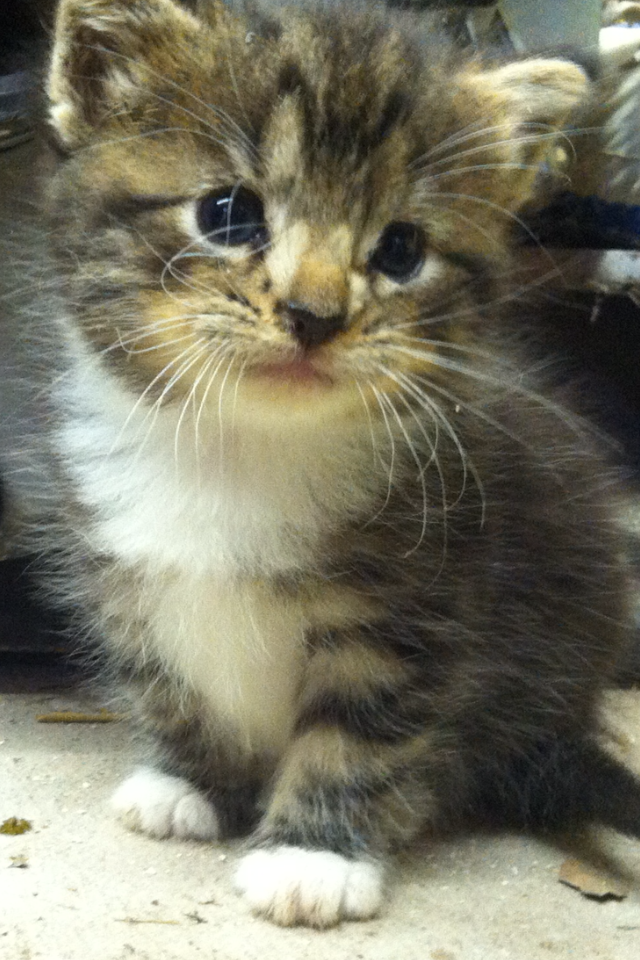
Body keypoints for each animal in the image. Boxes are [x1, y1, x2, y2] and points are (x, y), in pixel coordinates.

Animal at [33, 0, 640, 928]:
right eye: (229, 214)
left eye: (401, 250)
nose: (315, 316)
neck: (244, 450)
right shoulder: (123, 571)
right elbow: (170, 680)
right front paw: (189, 781)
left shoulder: (415, 609)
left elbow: (359, 733)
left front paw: (312, 856)